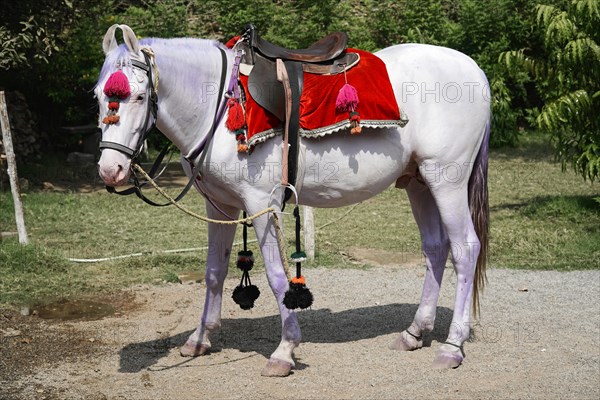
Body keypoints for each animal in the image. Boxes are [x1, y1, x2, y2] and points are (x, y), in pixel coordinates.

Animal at [96, 24, 490, 376]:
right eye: (99, 95)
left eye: (139, 96)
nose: (110, 170)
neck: (219, 107)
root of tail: (475, 70)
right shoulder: (220, 205)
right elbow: (213, 272)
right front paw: (200, 338)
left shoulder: (260, 203)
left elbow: (276, 276)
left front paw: (284, 350)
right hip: (418, 183)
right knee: (436, 248)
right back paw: (414, 332)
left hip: (446, 180)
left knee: (465, 249)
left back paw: (452, 345)